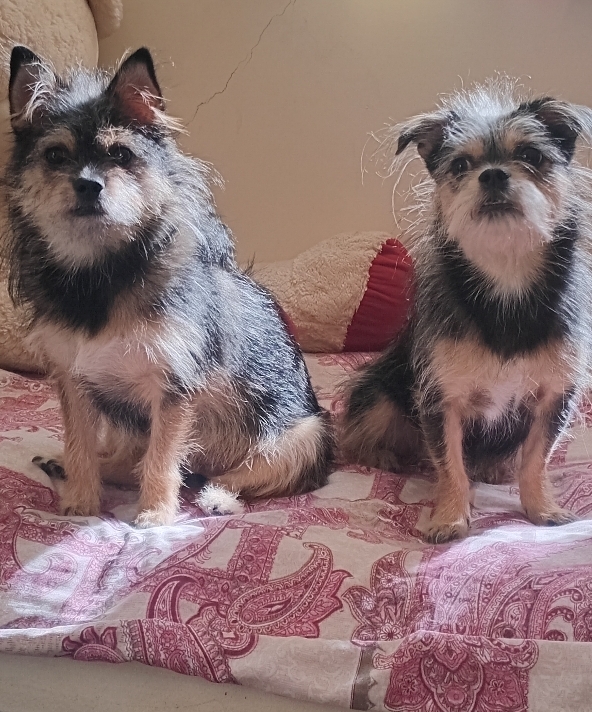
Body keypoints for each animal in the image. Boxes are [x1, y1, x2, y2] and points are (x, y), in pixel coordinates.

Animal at [5, 46, 333, 526]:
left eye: (122, 154)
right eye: (55, 156)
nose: (88, 185)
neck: (103, 273)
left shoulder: (173, 389)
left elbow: (161, 459)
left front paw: (156, 515)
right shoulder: (75, 383)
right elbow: (82, 446)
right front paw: (81, 501)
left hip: (308, 436)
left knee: (236, 474)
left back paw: (217, 497)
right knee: (124, 461)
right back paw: (65, 466)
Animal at [341, 79, 592, 543]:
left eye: (532, 155)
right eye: (460, 165)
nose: (492, 174)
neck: (507, 282)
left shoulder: (556, 396)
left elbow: (536, 460)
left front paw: (542, 508)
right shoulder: (440, 400)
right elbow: (450, 465)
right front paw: (450, 518)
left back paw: (494, 467)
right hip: (381, 393)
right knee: (354, 435)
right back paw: (382, 455)